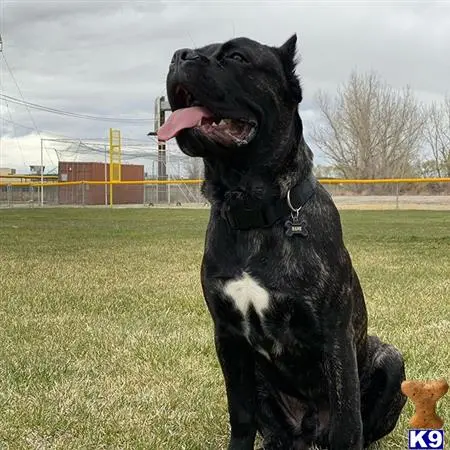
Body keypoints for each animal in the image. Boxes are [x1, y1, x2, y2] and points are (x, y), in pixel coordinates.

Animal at [156, 34, 406, 446]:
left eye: (236, 56)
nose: (179, 56)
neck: (253, 213)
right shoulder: (229, 339)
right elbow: (241, 415)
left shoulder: (335, 337)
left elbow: (348, 420)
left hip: (390, 358)